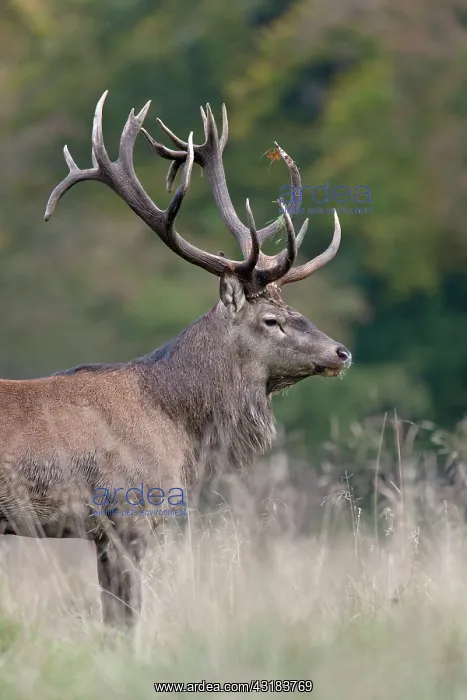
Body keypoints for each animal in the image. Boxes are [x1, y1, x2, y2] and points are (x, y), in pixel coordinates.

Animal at [0, 91, 351, 629]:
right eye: (271, 319)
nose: (341, 352)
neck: (178, 427)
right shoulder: (129, 512)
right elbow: (126, 619)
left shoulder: (103, 532)